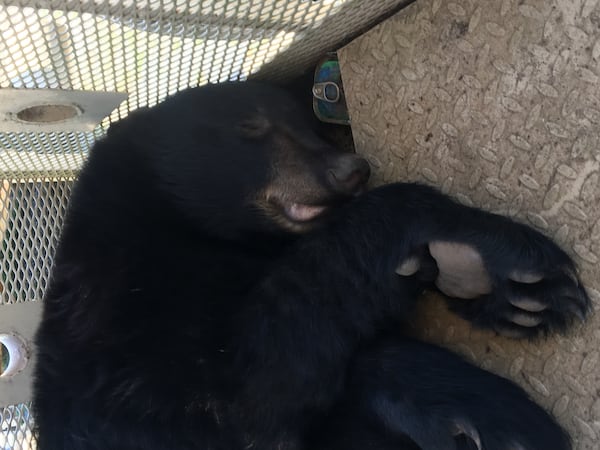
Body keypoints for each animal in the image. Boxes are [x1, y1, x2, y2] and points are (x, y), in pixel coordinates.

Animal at [30, 81, 588, 450]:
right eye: (251, 126)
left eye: (312, 125)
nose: (350, 169)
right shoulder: (126, 335)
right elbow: (249, 387)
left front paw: (512, 292)